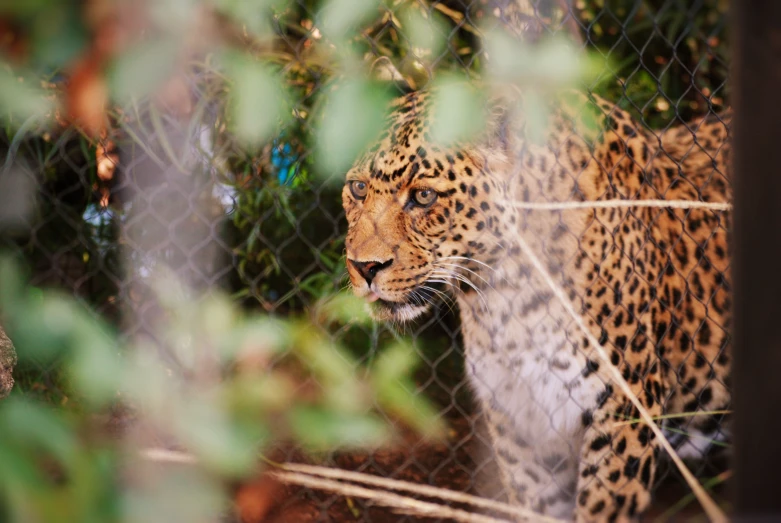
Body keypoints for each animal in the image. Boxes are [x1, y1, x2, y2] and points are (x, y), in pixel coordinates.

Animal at [342, 84, 732, 520]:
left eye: (424, 196)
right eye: (358, 189)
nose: (364, 267)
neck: (505, 297)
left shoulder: (624, 413)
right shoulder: (520, 420)